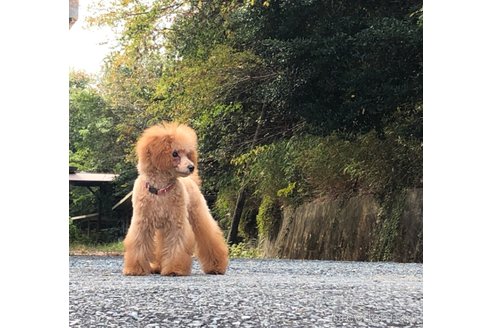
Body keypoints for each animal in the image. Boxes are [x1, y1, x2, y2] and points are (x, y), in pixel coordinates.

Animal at [123, 121, 231, 276]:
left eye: (187, 154)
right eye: (174, 153)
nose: (191, 167)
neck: (161, 190)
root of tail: (192, 180)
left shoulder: (176, 223)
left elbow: (177, 245)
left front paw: (174, 269)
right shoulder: (142, 223)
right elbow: (139, 244)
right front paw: (135, 269)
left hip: (197, 214)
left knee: (210, 237)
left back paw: (216, 267)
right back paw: (158, 267)